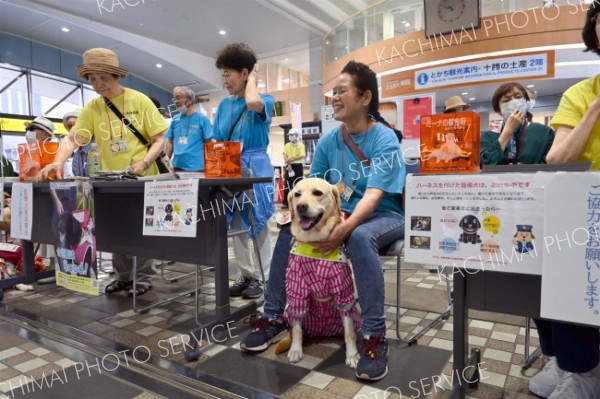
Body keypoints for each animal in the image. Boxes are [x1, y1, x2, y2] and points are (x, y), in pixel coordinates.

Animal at [282, 180, 360, 370]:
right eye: (297, 194)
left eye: (317, 193)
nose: (301, 206)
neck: (314, 243)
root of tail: (322, 332)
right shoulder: (296, 290)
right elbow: (297, 328)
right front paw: (296, 350)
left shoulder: (343, 292)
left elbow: (348, 332)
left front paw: (352, 355)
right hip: (288, 312)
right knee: (294, 328)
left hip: (356, 313)